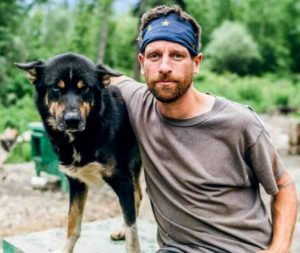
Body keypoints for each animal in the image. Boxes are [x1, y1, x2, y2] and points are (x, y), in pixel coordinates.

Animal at [15, 52, 142, 252]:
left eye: (85, 88)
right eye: (56, 88)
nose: (72, 120)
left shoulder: (122, 181)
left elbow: (133, 235)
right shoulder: (76, 182)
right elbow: (72, 225)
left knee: (136, 199)